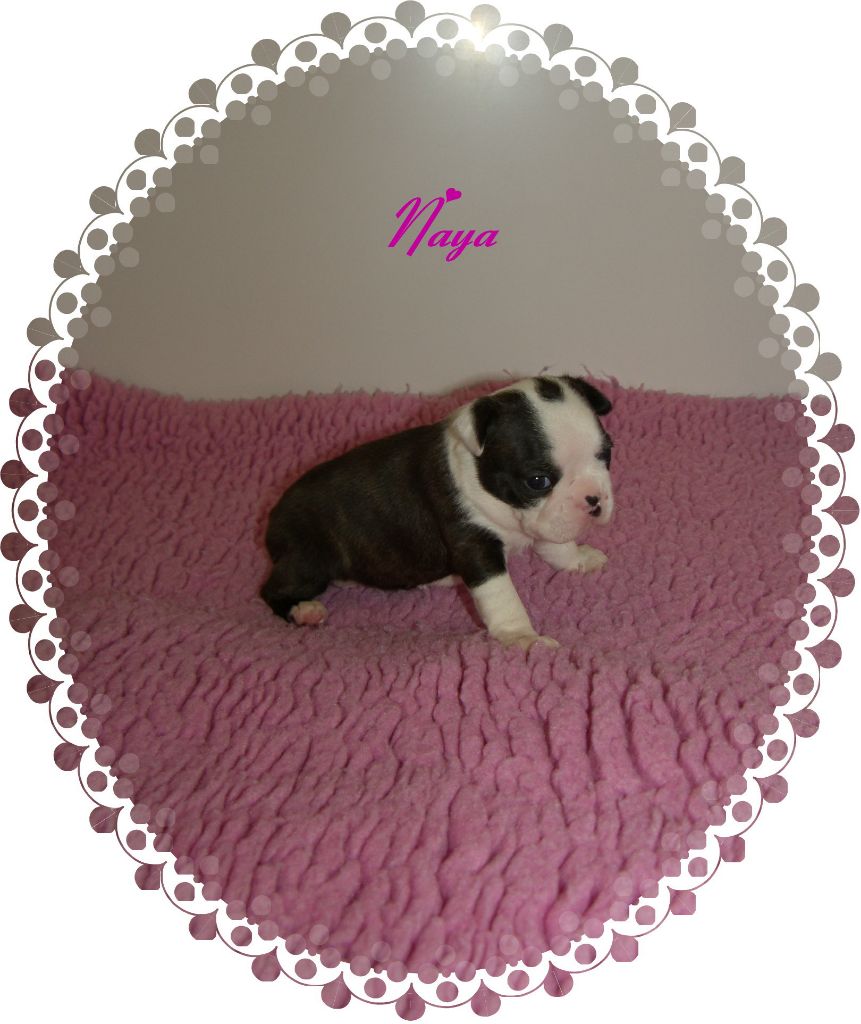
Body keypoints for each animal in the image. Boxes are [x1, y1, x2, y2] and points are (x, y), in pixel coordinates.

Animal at [261, 375, 614, 650]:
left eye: (607, 454)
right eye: (538, 481)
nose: (593, 499)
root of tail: (274, 518)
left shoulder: (548, 520)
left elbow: (557, 544)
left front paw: (578, 559)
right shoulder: (474, 543)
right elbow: (501, 594)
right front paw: (522, 637)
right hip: (309, 556)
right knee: (272, 590)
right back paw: (303, 610)